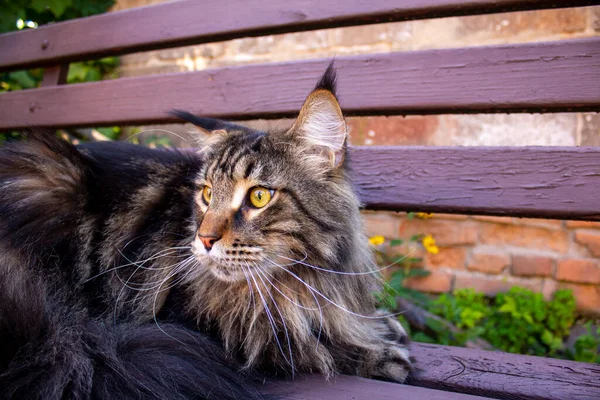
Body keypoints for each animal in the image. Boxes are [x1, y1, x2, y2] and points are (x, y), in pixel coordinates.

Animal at [0, 64, 410, 398]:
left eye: (259, 196)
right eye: (207, 194)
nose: (204, 239)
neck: (297, 283)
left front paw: (382, 326)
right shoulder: (194, 327)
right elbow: (297, 344)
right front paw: (379, 353)